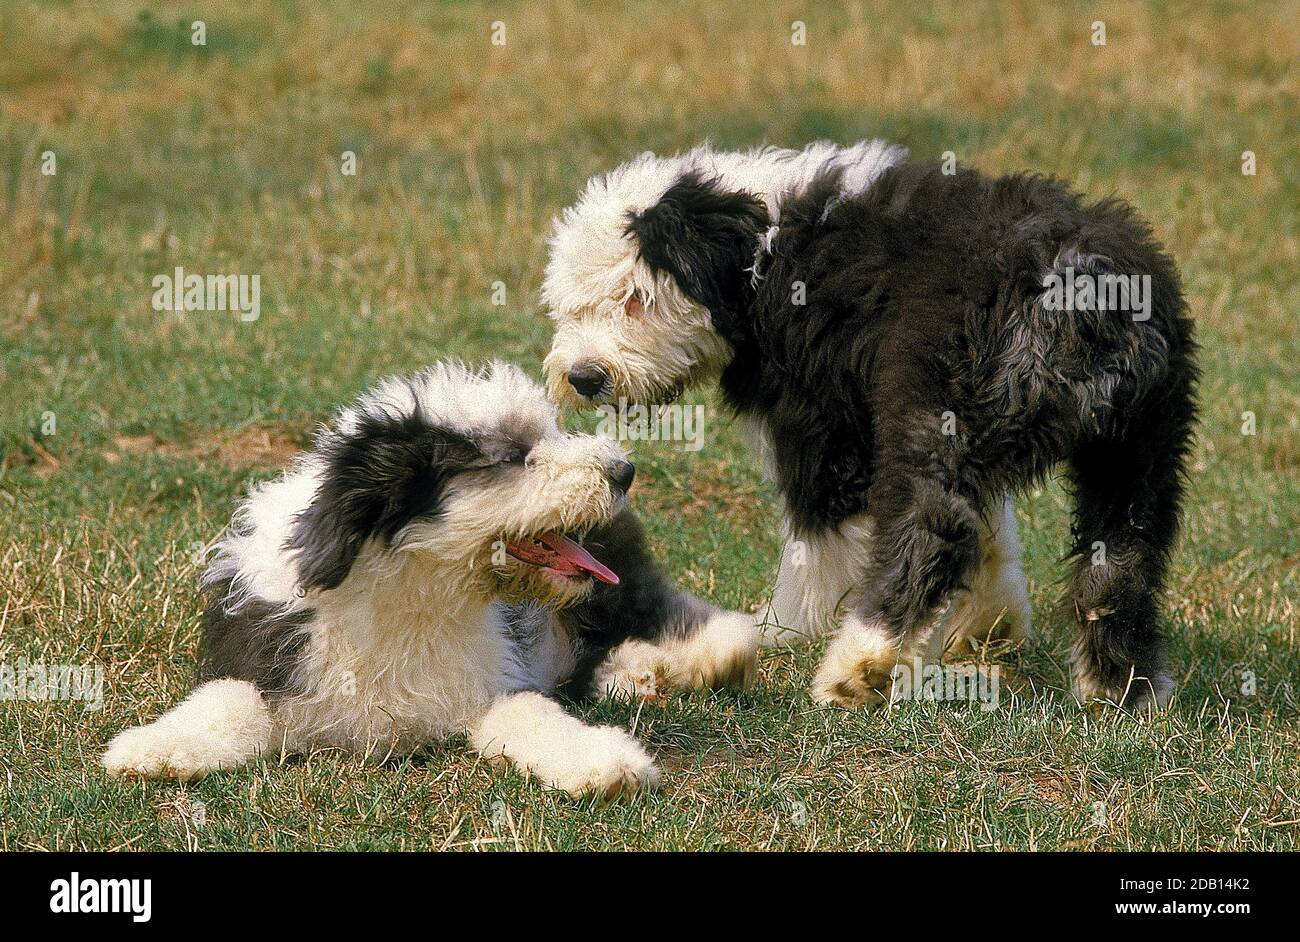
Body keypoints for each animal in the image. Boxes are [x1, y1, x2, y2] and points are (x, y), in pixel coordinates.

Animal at [106, 361, 759, 795]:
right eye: (514, 456)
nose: (625, 470)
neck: (416, 588)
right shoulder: (267, 653)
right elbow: (229, 700)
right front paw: (146, 749)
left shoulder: (493, 678)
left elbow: (527, 715)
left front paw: (605, 762)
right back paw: (638, 675)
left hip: (610, 577)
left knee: (659, 610)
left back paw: (715, 655)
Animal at [540, 143, 1196, 706]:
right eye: (570, 308)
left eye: (635, 298)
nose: (584, 377)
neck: (760, 254)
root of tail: (1080, 286)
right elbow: (993, 529)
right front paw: (993, 620)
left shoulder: (819, 428)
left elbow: (816, 543)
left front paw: (781, 632)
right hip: (1138, 446)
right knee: (1122, 559)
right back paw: (1122, 686)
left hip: (941, 410)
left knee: (931, 527)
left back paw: (859, 664)